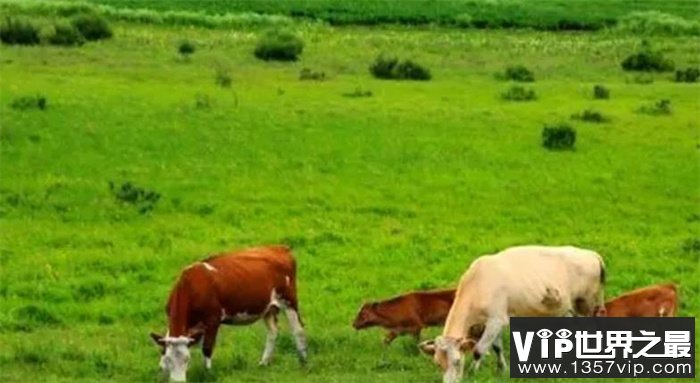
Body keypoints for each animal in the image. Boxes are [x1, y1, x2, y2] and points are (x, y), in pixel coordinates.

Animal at [150, 248, 306, 382]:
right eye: (168, 359)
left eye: (187, 360)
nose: (178, 381)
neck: (191, 286)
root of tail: (280, 248)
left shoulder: (213, 320)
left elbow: (207, 348)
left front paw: (208, 374)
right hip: (268, 308)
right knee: (273, 332)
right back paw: (263, 362)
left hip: (289, 300)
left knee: (298, 329)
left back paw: (303, 362)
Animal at [418, 246, 604, 383]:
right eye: (438, 363)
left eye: (457, 362)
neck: (478, 284)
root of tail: (591, 253)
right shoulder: (496, 319)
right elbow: (497, 347)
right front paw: (502, 369)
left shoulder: (496, 320)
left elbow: (479, 350)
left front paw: (472, 372)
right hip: (569, 308)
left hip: (587, 303)